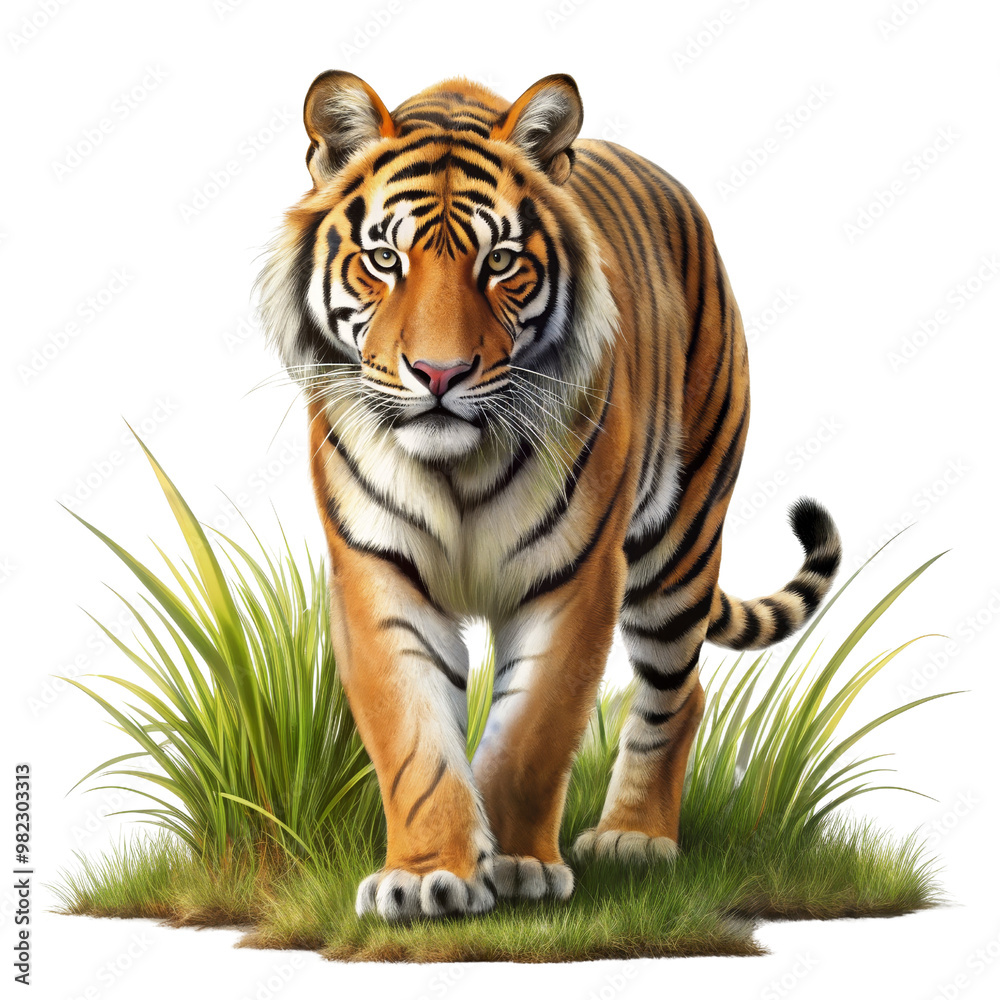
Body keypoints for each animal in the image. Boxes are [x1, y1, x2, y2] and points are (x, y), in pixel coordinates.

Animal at [257, 70, 842, 922]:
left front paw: (518, 868)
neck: (456, 468)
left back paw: (635, 836)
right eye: (384, 258)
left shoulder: (577, 576)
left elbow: (534, 731)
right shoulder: (376, 568)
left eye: (501, 260)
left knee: (679, 691)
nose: (439, 374)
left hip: (681, 540)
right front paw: (428, 876)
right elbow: (414, 737)